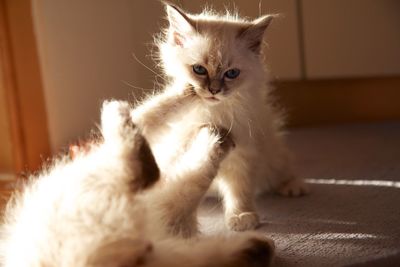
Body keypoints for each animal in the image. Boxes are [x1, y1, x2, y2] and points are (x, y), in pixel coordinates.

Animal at [133, 3, 308, 231]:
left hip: (273, 155)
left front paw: (242, 216)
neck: (213, 112)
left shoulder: (243, 151)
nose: (214, 91)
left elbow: (239, 190)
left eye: (231, 73)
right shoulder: (177, 147)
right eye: (199, 69)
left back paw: (293, 187)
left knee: (283, 170)